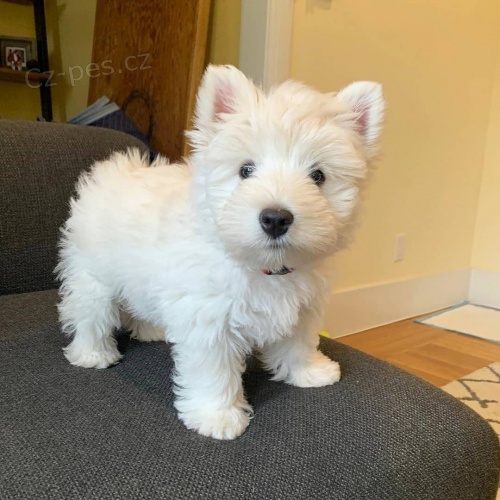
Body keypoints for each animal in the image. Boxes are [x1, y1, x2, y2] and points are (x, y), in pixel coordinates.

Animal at [59, 64, 386, 440]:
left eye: (318, 175)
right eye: (246, 170)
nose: (275, 218)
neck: (263, 266)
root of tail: (115, 171)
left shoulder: (302, 306)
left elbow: (299, 342)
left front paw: (309, 372)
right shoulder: (209, 320)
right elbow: (214, 371)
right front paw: (217, 415)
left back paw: (151, 328)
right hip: (92, 276)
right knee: (90, 313)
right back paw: (92, 353)